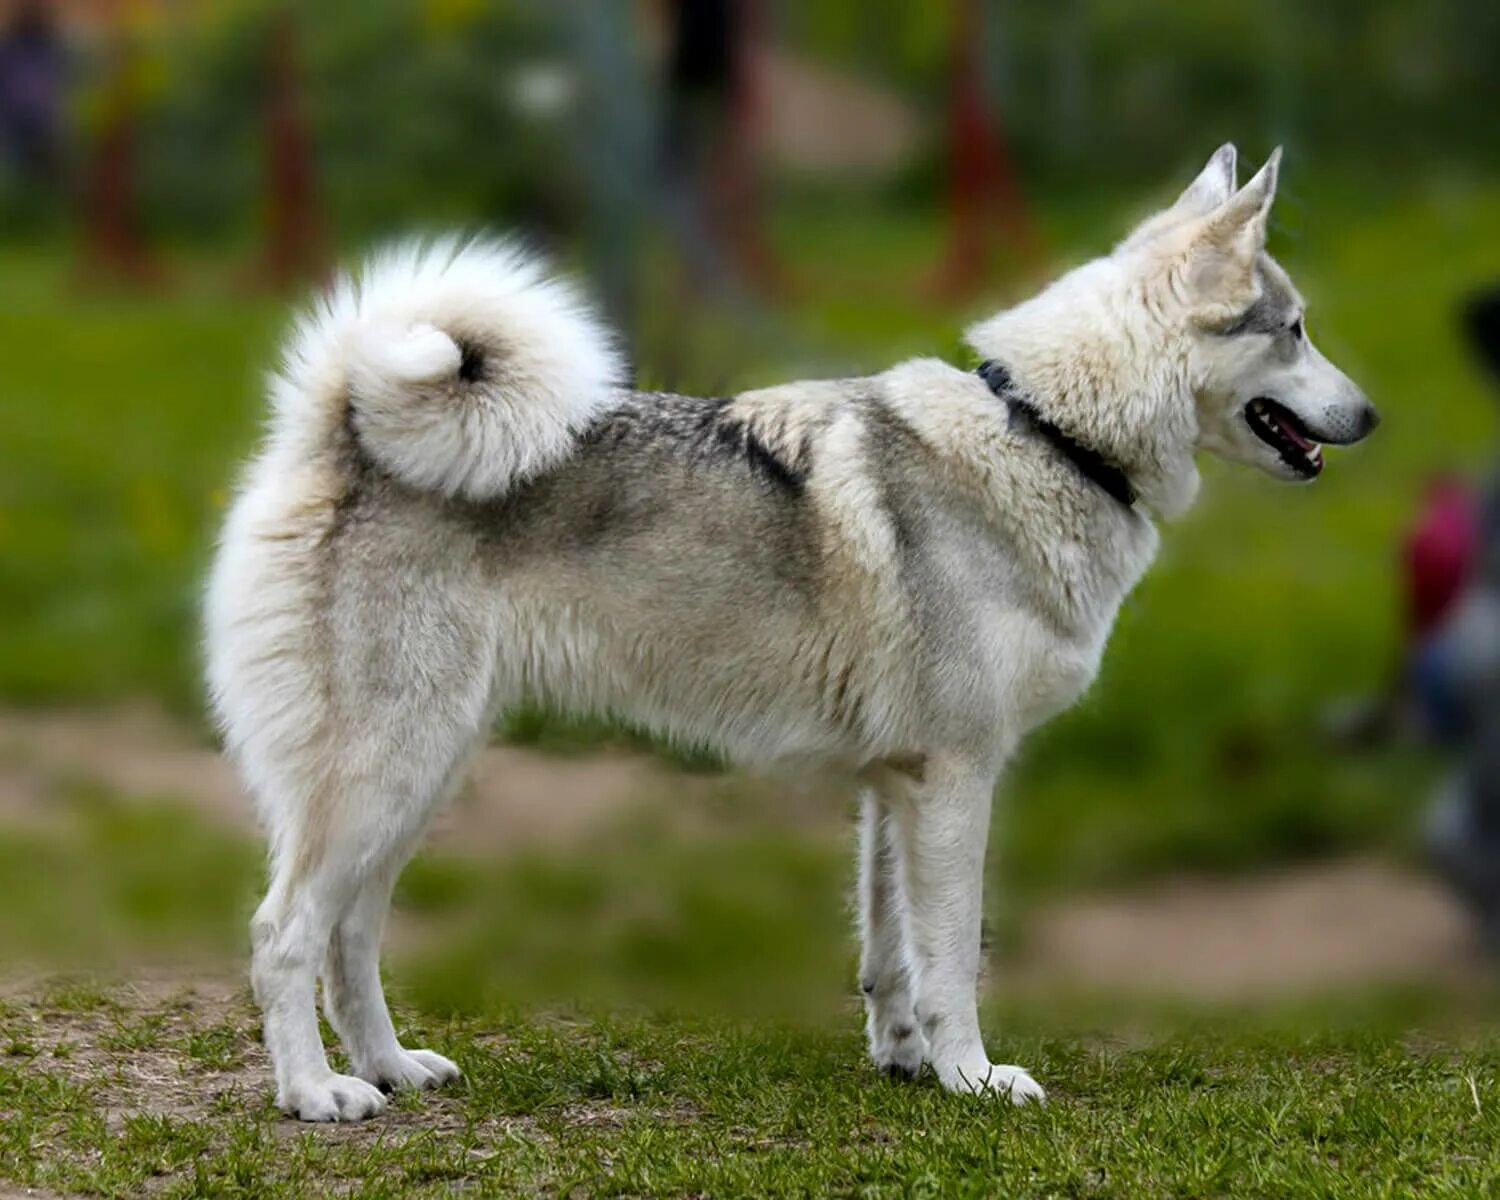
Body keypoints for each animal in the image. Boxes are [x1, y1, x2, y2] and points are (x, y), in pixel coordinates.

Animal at [205, 145, 1374, 1122]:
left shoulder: (895, 787)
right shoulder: (957, 780)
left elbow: (891, 949)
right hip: (387, 774)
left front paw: (907, 1059)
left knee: (353, 933)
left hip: (422, 776)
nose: (1373, 419)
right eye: (1295, 329)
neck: (1050, 435)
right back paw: (316, 1094)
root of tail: (338, 428)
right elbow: (956, 955)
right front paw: (974, 1077)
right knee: (283, 934)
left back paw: (390, 1068)